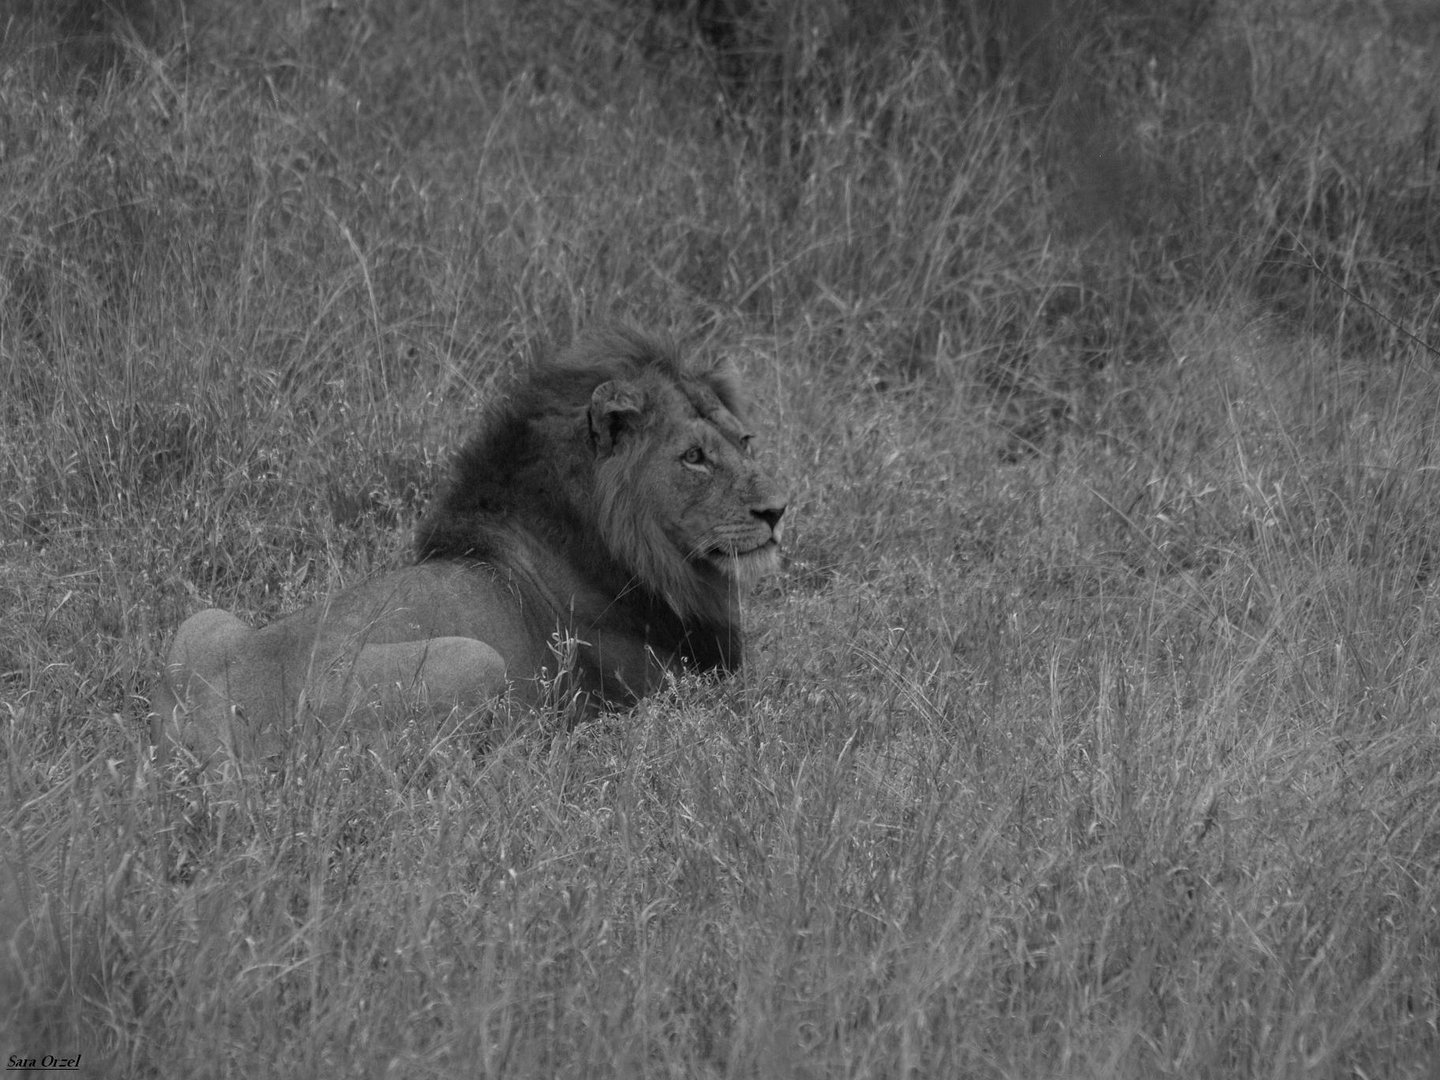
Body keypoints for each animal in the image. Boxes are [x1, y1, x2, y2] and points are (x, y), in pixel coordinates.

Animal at [149, 324, 789, 771]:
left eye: (745, 440)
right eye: (693, 456)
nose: (778, 510)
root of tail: (220, 738)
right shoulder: (676, 693)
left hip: (202, 622)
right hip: (477, 660)